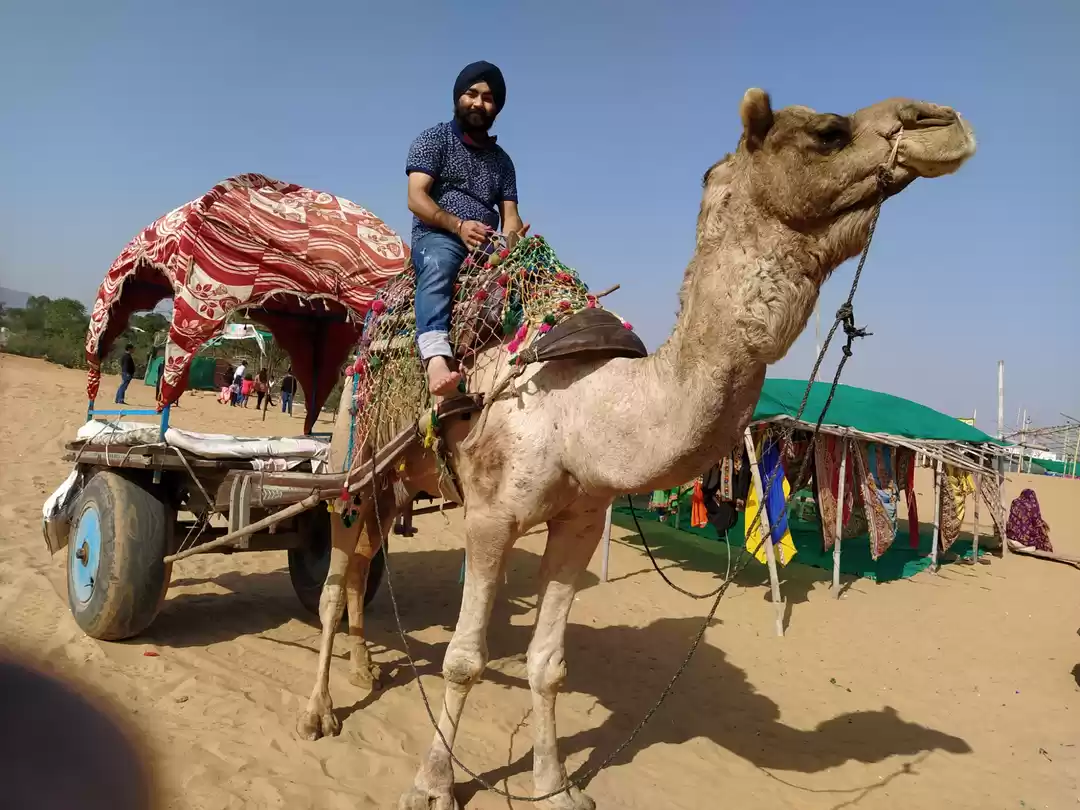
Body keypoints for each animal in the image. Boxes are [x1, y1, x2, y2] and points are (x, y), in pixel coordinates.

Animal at [295, 89, 976, 810]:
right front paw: (431, 785)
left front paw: (556, 787)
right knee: (335, 578)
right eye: (827, 131)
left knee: (364, 561)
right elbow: (463, 660)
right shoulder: (490, 518)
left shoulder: (578, 520)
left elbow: (547, 665)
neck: (586, 405)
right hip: (351, 452)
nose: (943, 122)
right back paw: (318, 713)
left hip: (396, 477)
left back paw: (364, 669)